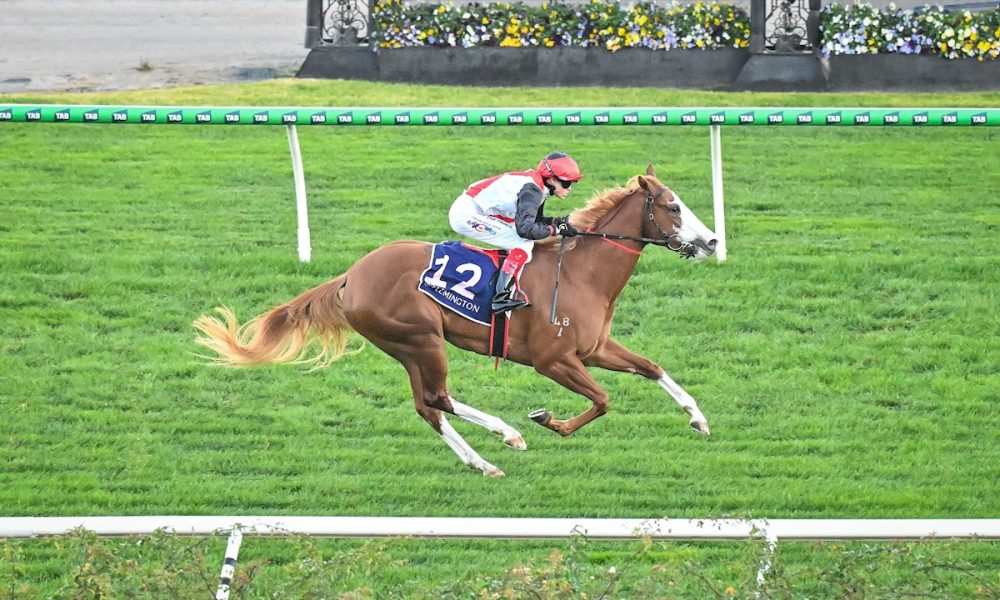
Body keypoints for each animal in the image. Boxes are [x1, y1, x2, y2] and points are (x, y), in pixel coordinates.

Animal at [194, 165, 718, 477]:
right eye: (673, 207)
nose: (712, 242)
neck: (583, 273)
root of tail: (351, 275)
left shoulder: (594, 350)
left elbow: (651, 368)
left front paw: (699, 417)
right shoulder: (553, 360)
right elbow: (603, 400)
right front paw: (548, 420)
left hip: (406, 347)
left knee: (427, 406)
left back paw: (482, 462)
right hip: (422, 338)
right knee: (438, 397)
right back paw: (507, 433)